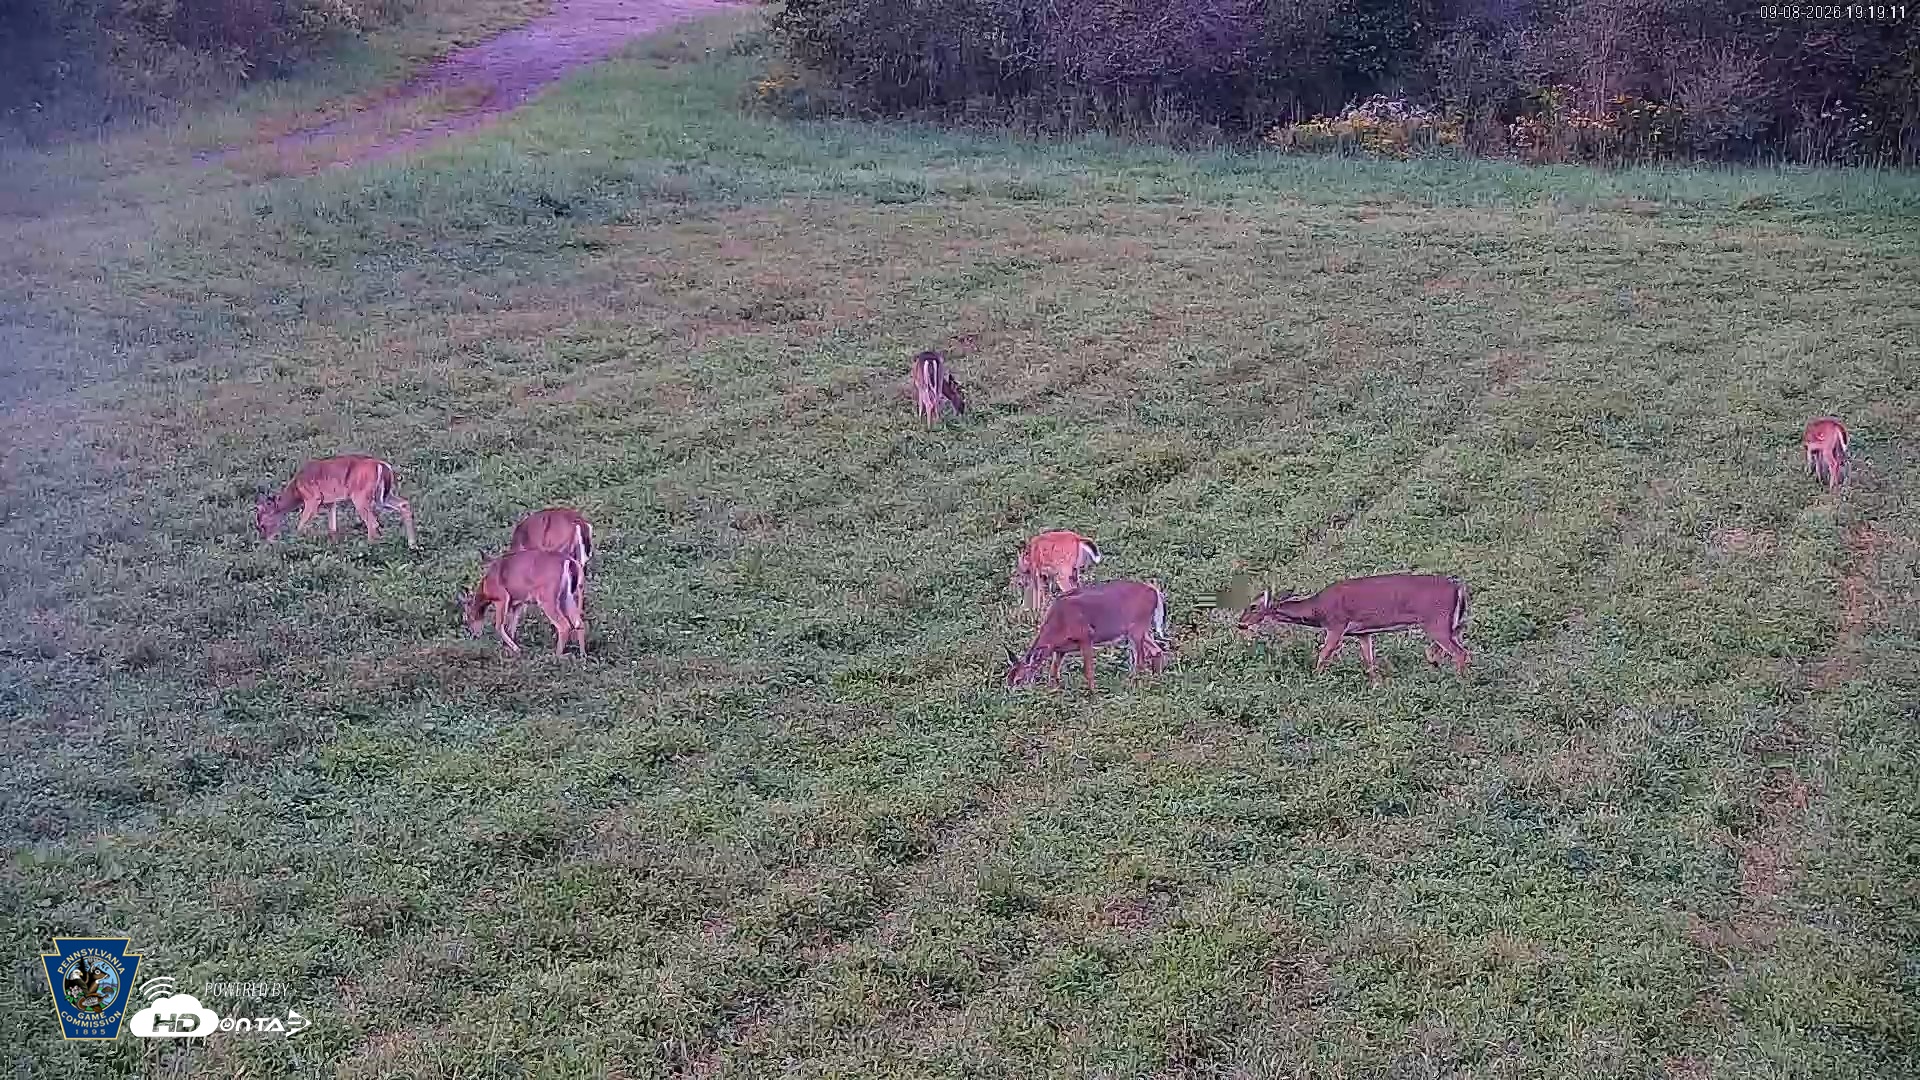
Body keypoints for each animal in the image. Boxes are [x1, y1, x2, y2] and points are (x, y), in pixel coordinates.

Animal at [255, 455, 417, 549]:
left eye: (262, 524)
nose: (267, 541)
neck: (296, 490)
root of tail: (383, 466)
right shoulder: (330, 502)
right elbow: (332, 527)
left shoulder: (313, 498)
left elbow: (300, 525)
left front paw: (296, 543)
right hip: (382, 496)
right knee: (403, 504)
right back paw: (412, 544)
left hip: (360, 495)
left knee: (373, 522)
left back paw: (369, 548)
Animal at [457, 549, 587, 657]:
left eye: (468, 617)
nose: (475, 635)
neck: (486, 588)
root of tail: (570, 561)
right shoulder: (518, 603)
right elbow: (512, 626)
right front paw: (510, 649)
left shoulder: (502, 597)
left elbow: (499, 626)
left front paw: (516, 649)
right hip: (567, 596)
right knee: (579, 622)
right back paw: (582, 656)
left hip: (547, 597)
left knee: (564, 625)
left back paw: (556, 656)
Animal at [1005, 579, 1170, 694]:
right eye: (1008, 680)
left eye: (1019, 680)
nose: (1012, 696)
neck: (1058, 624)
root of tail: (1155, 592)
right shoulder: (1060, 649)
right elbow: (1053, 672)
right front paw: (1052, 691)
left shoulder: (1086, 636)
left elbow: (1088, 671)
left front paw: (1092, 694)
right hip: (1137, 630)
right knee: (1156, 650)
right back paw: (1155, 681)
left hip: (1138, 627)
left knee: (1140, 660)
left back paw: (1134, 685)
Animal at [1238, 573, 1469, 685]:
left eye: (1253, 606)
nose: (1240, 623)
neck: (1318, 610)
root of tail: (1459, 589)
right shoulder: (1362, 633)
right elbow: (1369, 661)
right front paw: (1376, 685)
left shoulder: (1337, 625)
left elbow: (1323, 654)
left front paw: (1315, 679)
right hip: (1450, 624)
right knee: (1447, 646)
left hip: (1436, 622)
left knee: (1461, 653)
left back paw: (1458, 681)